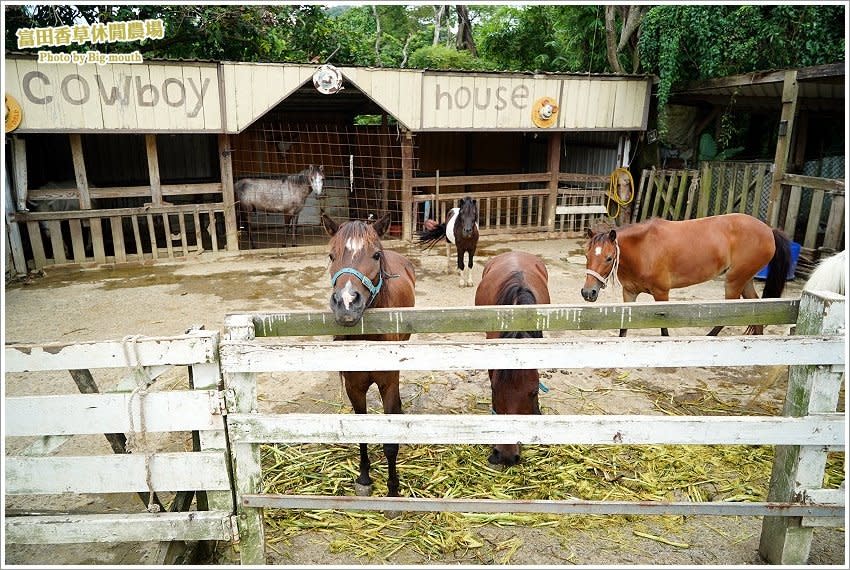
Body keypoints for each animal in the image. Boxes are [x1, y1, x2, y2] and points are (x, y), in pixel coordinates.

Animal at [318, 210, 414, 496]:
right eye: (331, 255)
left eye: (375, 255)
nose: (347, 303)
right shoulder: (354, 388)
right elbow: (361, 432)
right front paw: (364, 478)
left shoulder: (388, 385)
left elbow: (390, 443)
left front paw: (393, 489)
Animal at [580, 214, 792, 338]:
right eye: (587, 255)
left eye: (609, 258)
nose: (588, 292)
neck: (643, 249)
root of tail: (769, 230)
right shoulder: (629, 293)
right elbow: (623, 328)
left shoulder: (661, 294)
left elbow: (664, 329)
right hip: (744, 279)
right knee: (757, 309)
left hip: (734, 281)